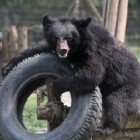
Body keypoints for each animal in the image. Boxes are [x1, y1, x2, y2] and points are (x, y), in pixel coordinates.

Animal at [1, 15, 140, 136]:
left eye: (68, 37)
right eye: (56, 37)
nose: (62, 50)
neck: (76, 48)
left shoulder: (93, 50)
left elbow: (92, 73)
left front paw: (55, 87)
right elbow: (38, 49)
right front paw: (6, 68)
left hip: (129, 86)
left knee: (116, 102)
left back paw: (106, 128)